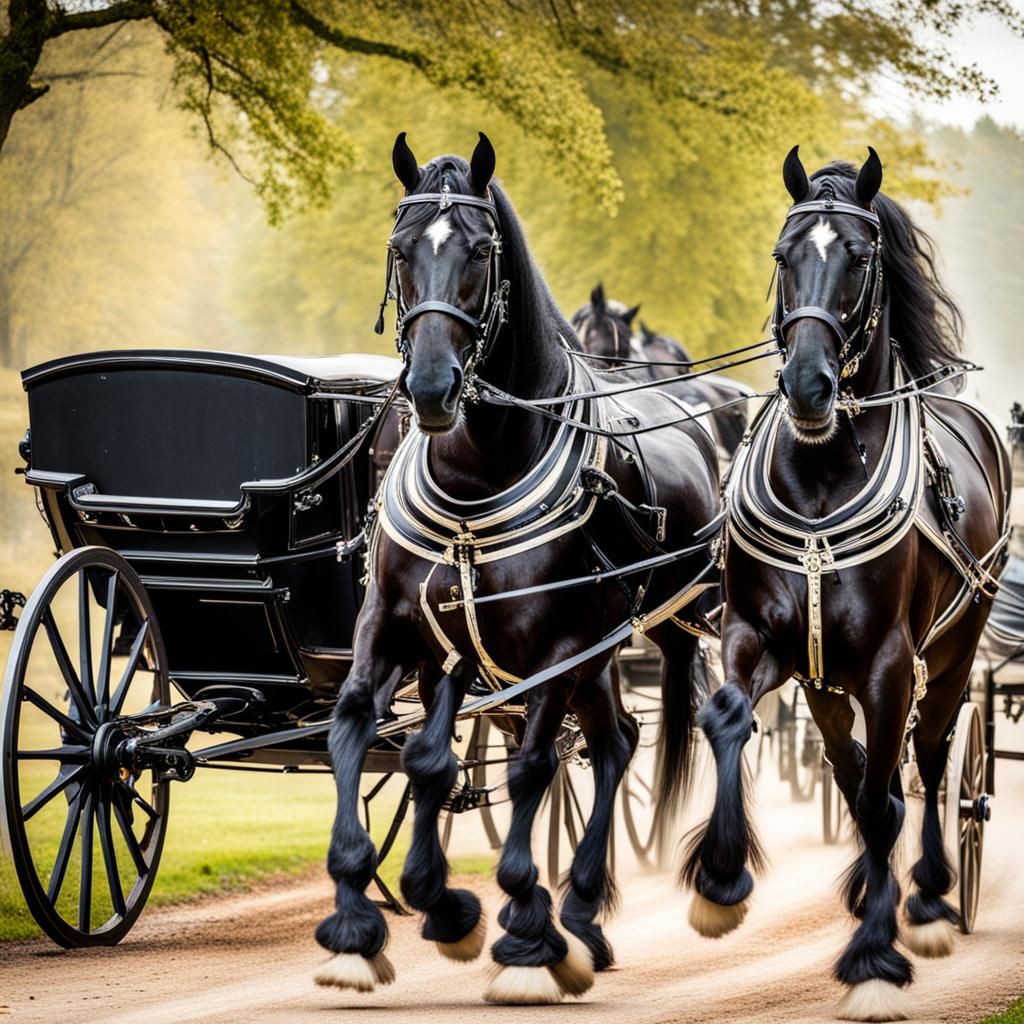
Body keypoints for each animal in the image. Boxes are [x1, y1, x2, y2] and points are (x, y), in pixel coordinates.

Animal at [314, 133, 722, 1005]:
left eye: (478, 250)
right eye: (400, 247)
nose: (431, 387)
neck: (477, 473)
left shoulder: (556, 650)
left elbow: (534, 765)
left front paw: (526, 929)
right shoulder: (404, 632)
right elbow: (379, 736)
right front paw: (373, 913)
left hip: (601, 648)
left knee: (603, 748)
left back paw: (577, 912)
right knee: (606, 741)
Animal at [683, 147, 1011, 1022]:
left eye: (860, 259)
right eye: (782, 255)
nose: (808, 385)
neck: (824, 475)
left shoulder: (892, 662)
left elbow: (883, 791)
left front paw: (873, 955)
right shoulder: (758, 636)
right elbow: (729, 721)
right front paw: (719, 881)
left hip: (957, 648)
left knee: (930, 756)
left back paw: (924, 896)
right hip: (826, 683)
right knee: (854, 762)